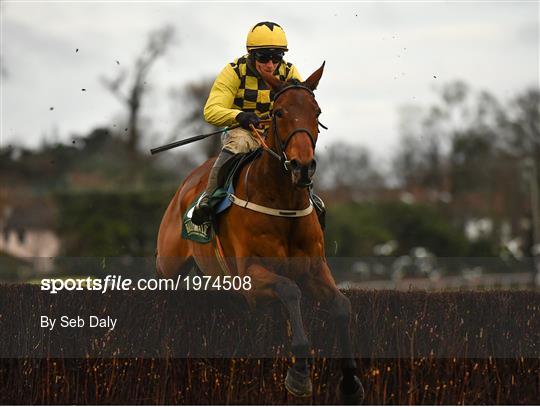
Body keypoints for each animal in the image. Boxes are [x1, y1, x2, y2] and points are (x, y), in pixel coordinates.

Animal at [157, 63, 368, 404]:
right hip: (169, 269)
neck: (283, 203)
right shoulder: (251, 276)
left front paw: (350, 383)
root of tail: (185, 186)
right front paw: (299, 375)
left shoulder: (314, 268)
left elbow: (341, 306)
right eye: (279, 112)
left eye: (317, 111)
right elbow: (290, 290)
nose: (302, 166)